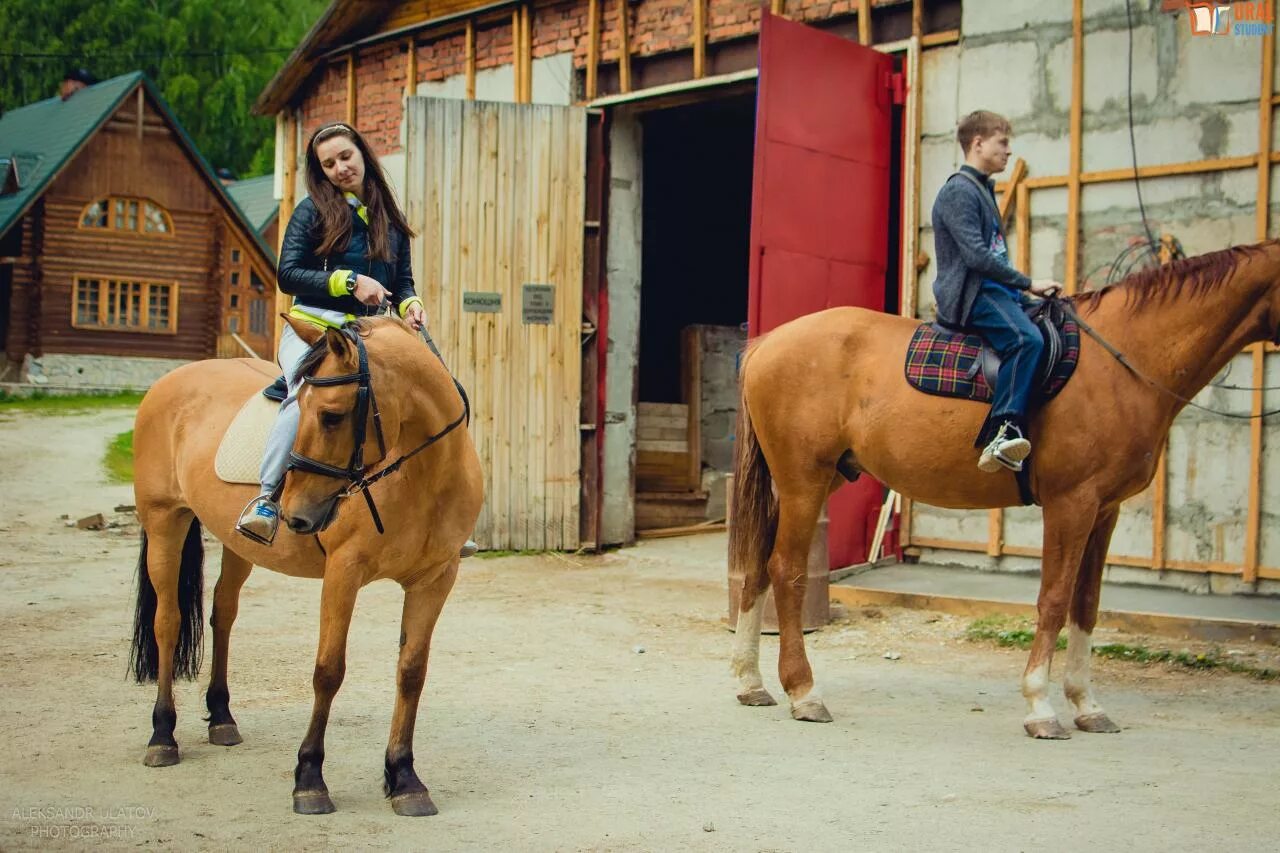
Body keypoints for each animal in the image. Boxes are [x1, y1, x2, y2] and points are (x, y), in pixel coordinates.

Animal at [128, 313, 481, 809]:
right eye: (303, 406)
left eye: (332, 416)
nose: (295, 514)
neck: (424, 475)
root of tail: (170, 381)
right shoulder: (343, 573)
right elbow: (328, 670)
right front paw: (310, 778)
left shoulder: (435, 579)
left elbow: (412, 672)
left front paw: (405, 778)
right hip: (164, 522)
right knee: (168, 622)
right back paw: (162, 735)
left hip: (237, 546)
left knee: (223, 612)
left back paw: (222, 717)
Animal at [732, 240, 1280, 737]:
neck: (1123, 362)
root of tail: (768, 343)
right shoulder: (1071, 503)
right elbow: (1054, 599)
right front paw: (1041, 706)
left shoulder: (1105, 510)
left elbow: (1086, 604)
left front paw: (1087, 705)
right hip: (804, 481)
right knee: (786, 571)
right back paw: (804, 692)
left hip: (804, 484)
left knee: (758, 567)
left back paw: (750, 682)